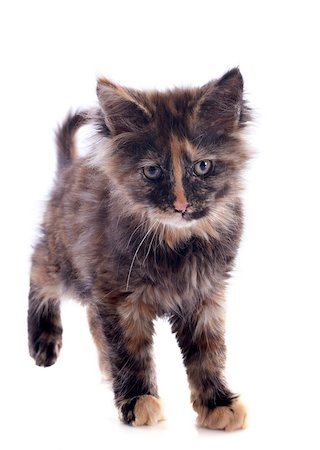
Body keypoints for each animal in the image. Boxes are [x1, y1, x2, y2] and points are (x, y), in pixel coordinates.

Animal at [28, 67, 250, 428]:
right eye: (152, 171)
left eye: (202, 167)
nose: (181, 206)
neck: (177, 245)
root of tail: (67, 169)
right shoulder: (120, 297)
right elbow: (130, 352)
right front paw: (138, 400)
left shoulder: (205, 295)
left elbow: (208, 352)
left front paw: (218, 402)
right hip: (63, 261)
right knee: (37, 267)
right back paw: (44, 342)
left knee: (92, 315)